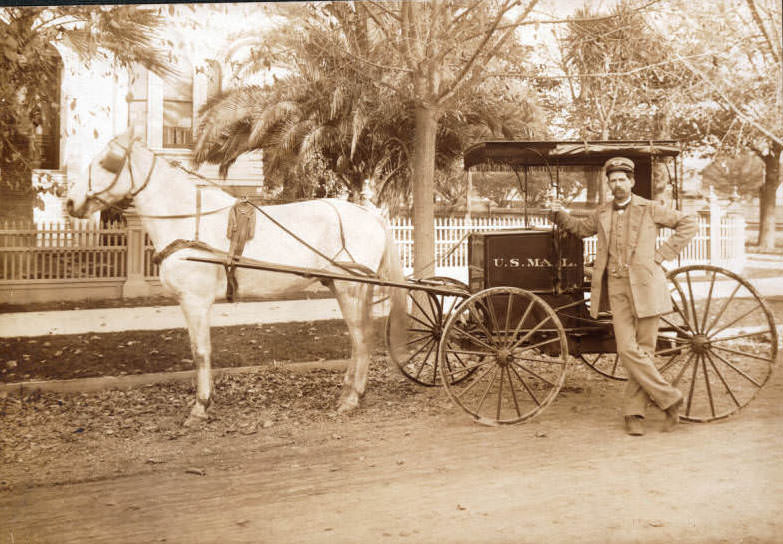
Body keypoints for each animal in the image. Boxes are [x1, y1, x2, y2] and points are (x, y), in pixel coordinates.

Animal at [66, 131, 408, 424]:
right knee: (357, 339)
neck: (189, 220)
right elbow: (199, 351)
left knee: (361, 339)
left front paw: (200, 406)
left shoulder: (196, 301)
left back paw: (352, 397)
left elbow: (201, 351)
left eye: (105, 162)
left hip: (351, 289)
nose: (70, 202)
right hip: (343, 287)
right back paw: (350, 391)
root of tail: (369, 215)